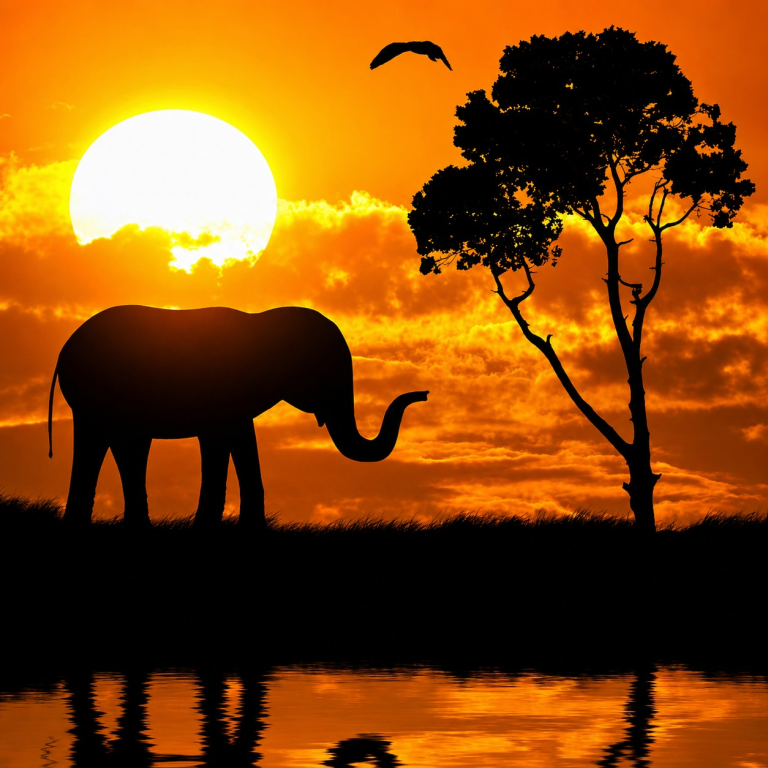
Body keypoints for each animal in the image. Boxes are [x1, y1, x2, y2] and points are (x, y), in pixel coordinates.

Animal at [48, 305, 429, 529]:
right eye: (327, 371)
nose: (422, 394)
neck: (264, 320)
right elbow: (220, 443)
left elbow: (242, 440)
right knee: (121, 446)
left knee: (112, 446)